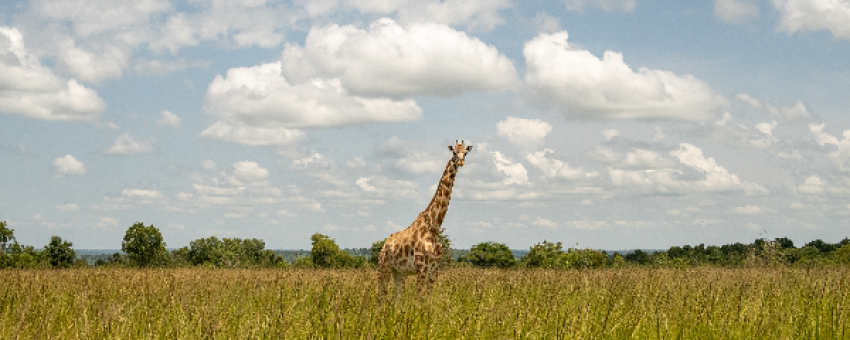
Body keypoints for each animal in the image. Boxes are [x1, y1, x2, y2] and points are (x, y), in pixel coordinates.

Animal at [376, 139, 470, 304]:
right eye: (454, 152)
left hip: (399, 272)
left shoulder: (434, 269)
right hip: (384, 266)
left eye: (465, 152)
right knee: (380, 296)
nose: (461, 162)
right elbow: (419, 300)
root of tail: (385, 244)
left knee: (396, 300)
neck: (434, 226)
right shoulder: (421, 267)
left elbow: (428, 301)